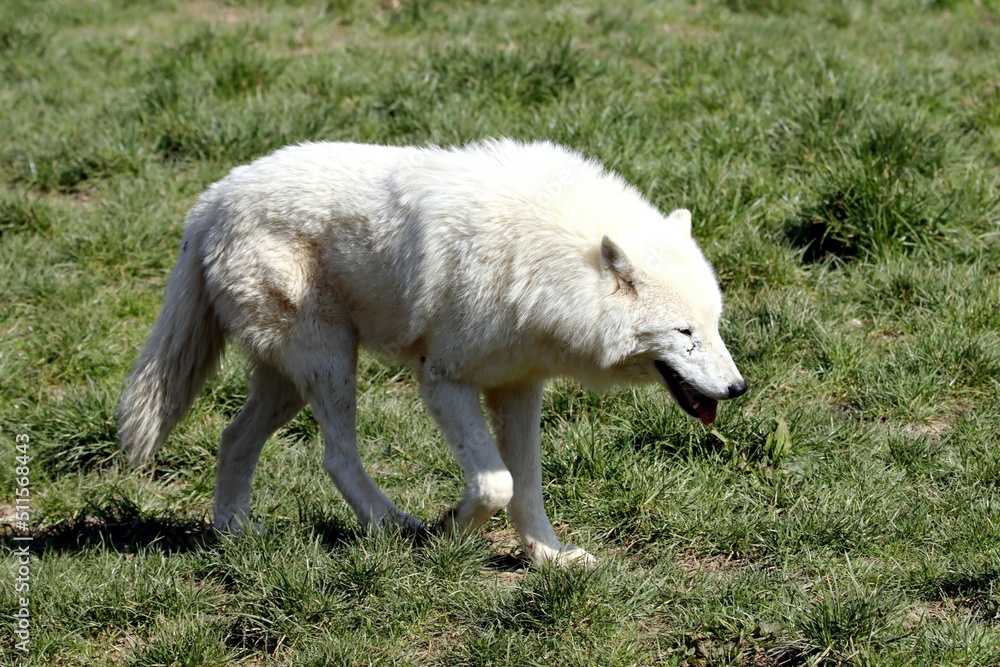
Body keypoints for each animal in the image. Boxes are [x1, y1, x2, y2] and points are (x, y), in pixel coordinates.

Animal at [117, 139, 746, 566]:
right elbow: (496, 483)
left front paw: (548, 557)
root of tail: (210, 201)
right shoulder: (442, 379)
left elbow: (528, 486)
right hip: (329, 362)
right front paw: (453, 529)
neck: (545, 262)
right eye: (684, 333)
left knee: (233, 437)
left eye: (714, 326)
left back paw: (234, 535)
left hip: (288, 382)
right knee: (336, 456)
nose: (738, 388)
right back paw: (397, 527)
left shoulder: (519, 387)